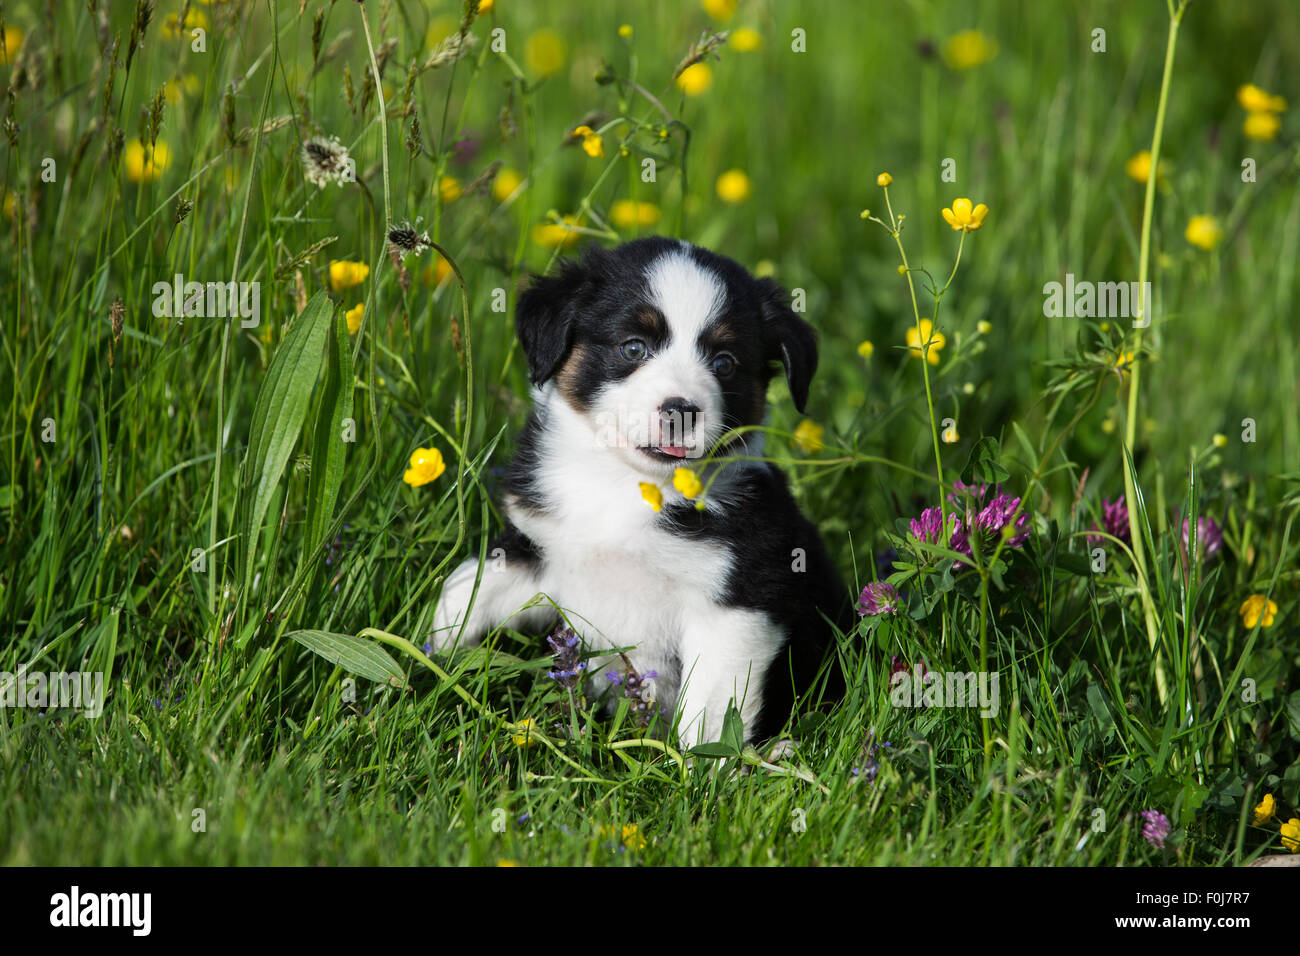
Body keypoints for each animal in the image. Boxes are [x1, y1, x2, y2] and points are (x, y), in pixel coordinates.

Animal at [431, 235, 847, 743]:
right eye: (634, 347)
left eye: (725, 363)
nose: (680, 409)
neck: (624, 485)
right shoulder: (541, 547)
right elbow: (466, 588)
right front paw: (429, 654)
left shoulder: (737, 602)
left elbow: (710, 713)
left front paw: (702, 766)